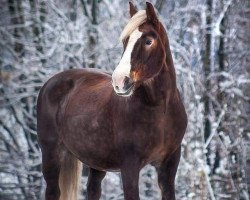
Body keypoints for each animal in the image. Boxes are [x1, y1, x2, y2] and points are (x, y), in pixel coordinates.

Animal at [36, 1, 186, 200]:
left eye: (148, 41)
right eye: (125, 41)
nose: (120, 81)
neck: (160, 109)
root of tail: (49, 83)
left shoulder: (169, 167)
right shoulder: (129, 167)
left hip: (95, 162)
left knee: (93, 189)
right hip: (51, 154)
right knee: (53, 191)